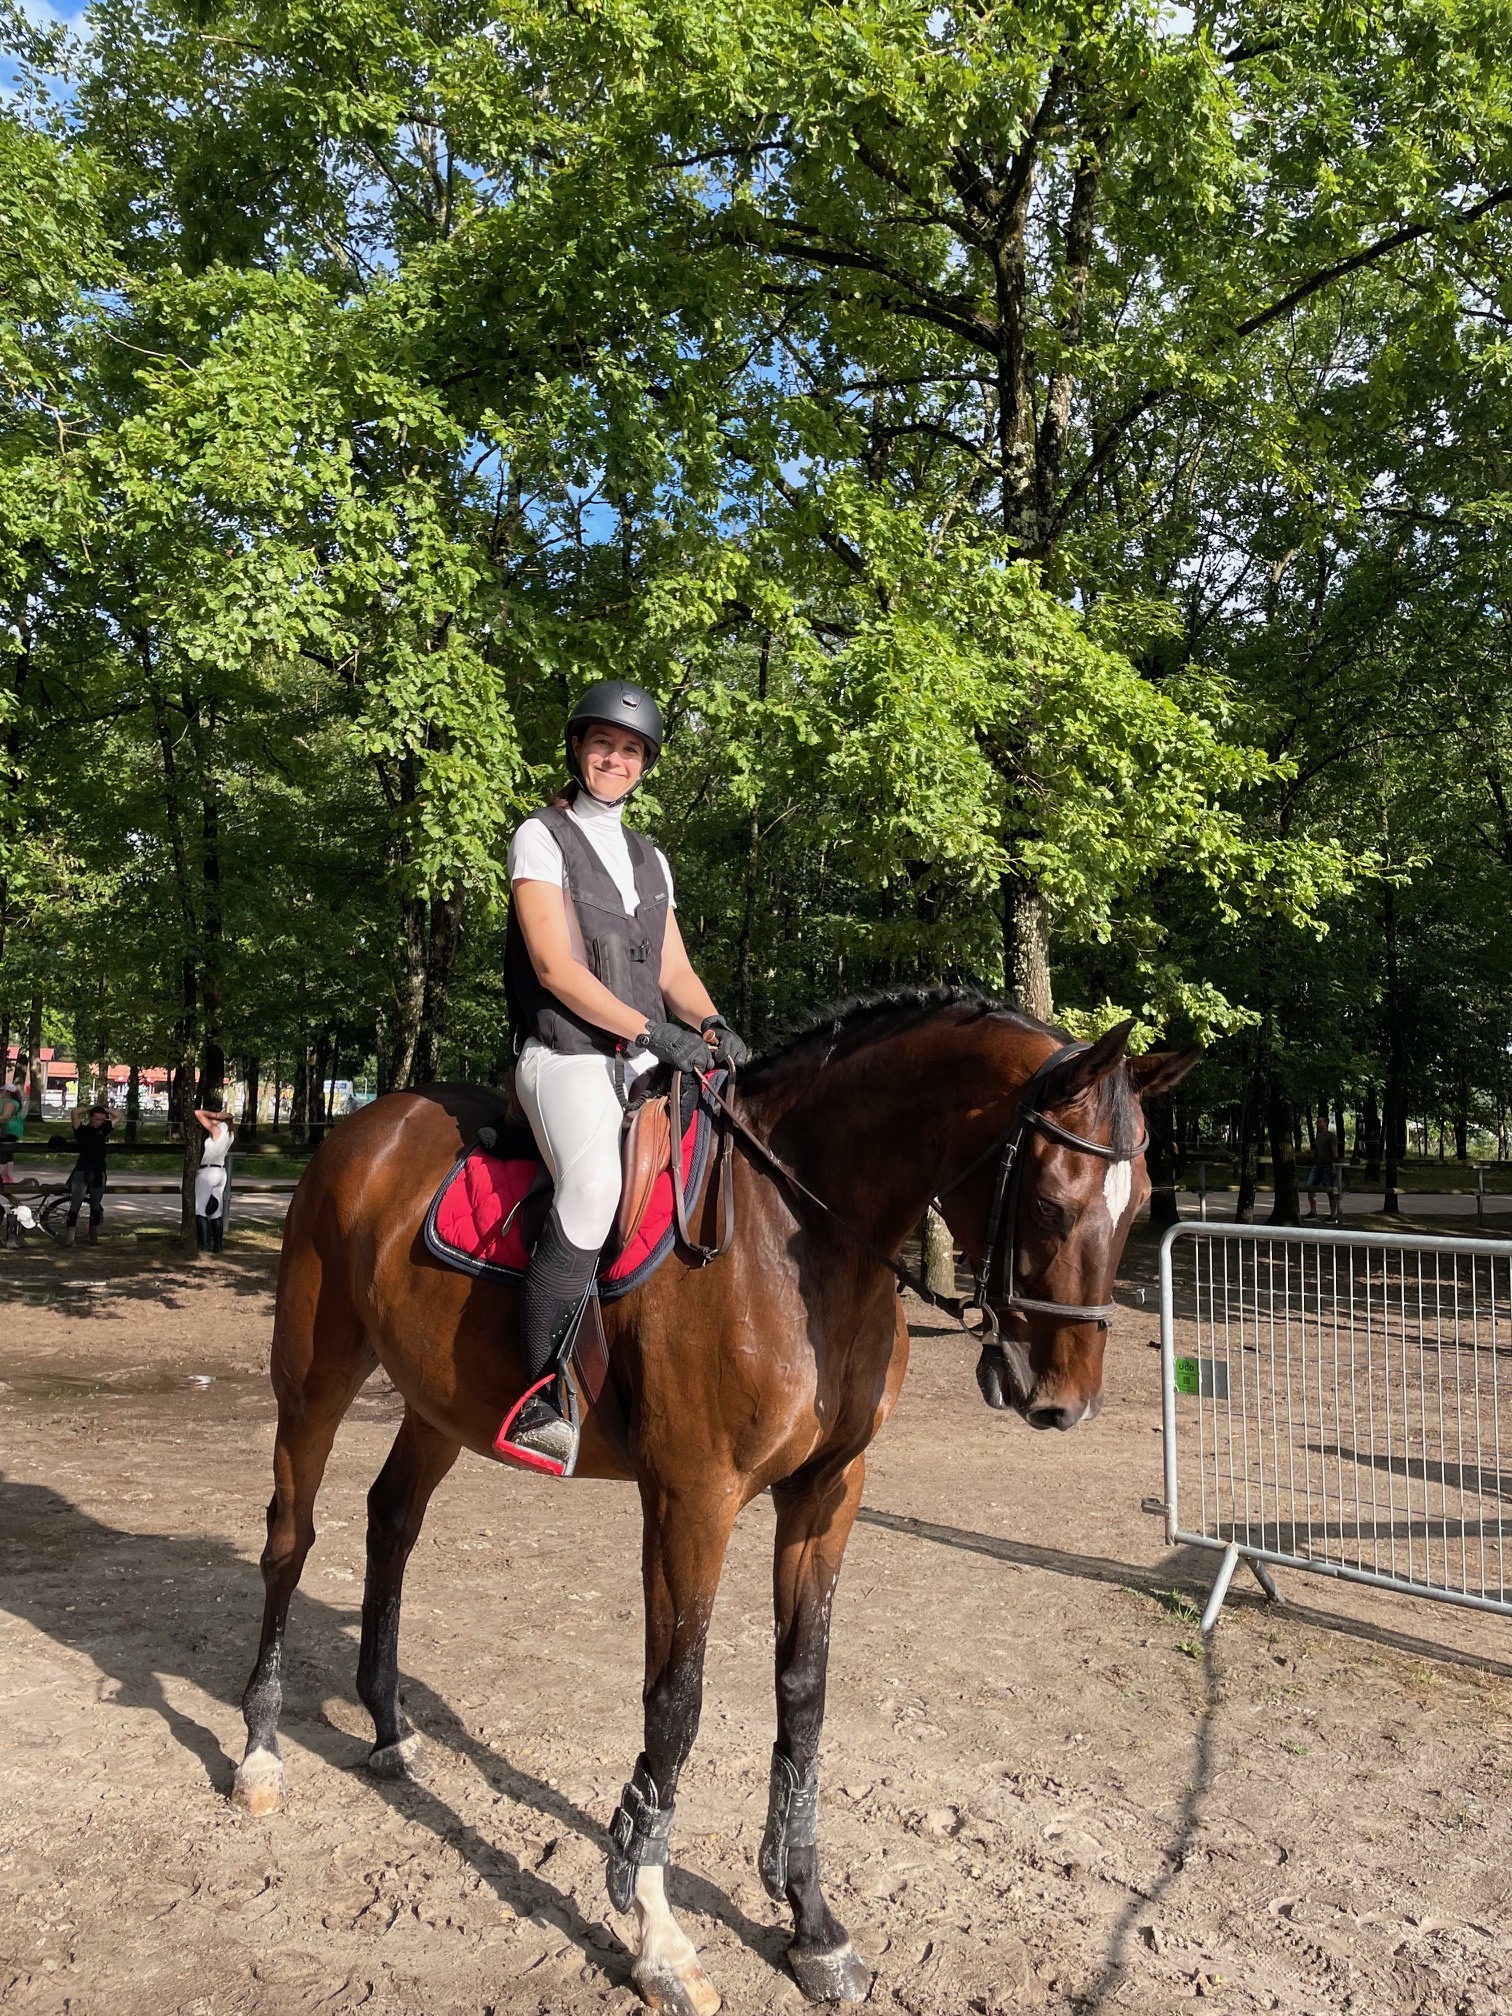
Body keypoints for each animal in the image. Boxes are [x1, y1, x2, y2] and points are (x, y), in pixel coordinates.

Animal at [233, 991, 1193, 2016]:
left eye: (1140, 1205)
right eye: (1051, 1204)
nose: (1063, 1402)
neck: (802, 1241)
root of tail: (367, 1126)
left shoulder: (826, 1495)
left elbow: (803, 1693)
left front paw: (812, 1925)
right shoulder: (694, 1498)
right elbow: (677, 1701)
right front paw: (658, 1933)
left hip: (438, 1404)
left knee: (391, 1521)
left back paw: (388, 1728)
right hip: (315, 1376)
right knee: (291, 1534)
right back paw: (259, 1752)